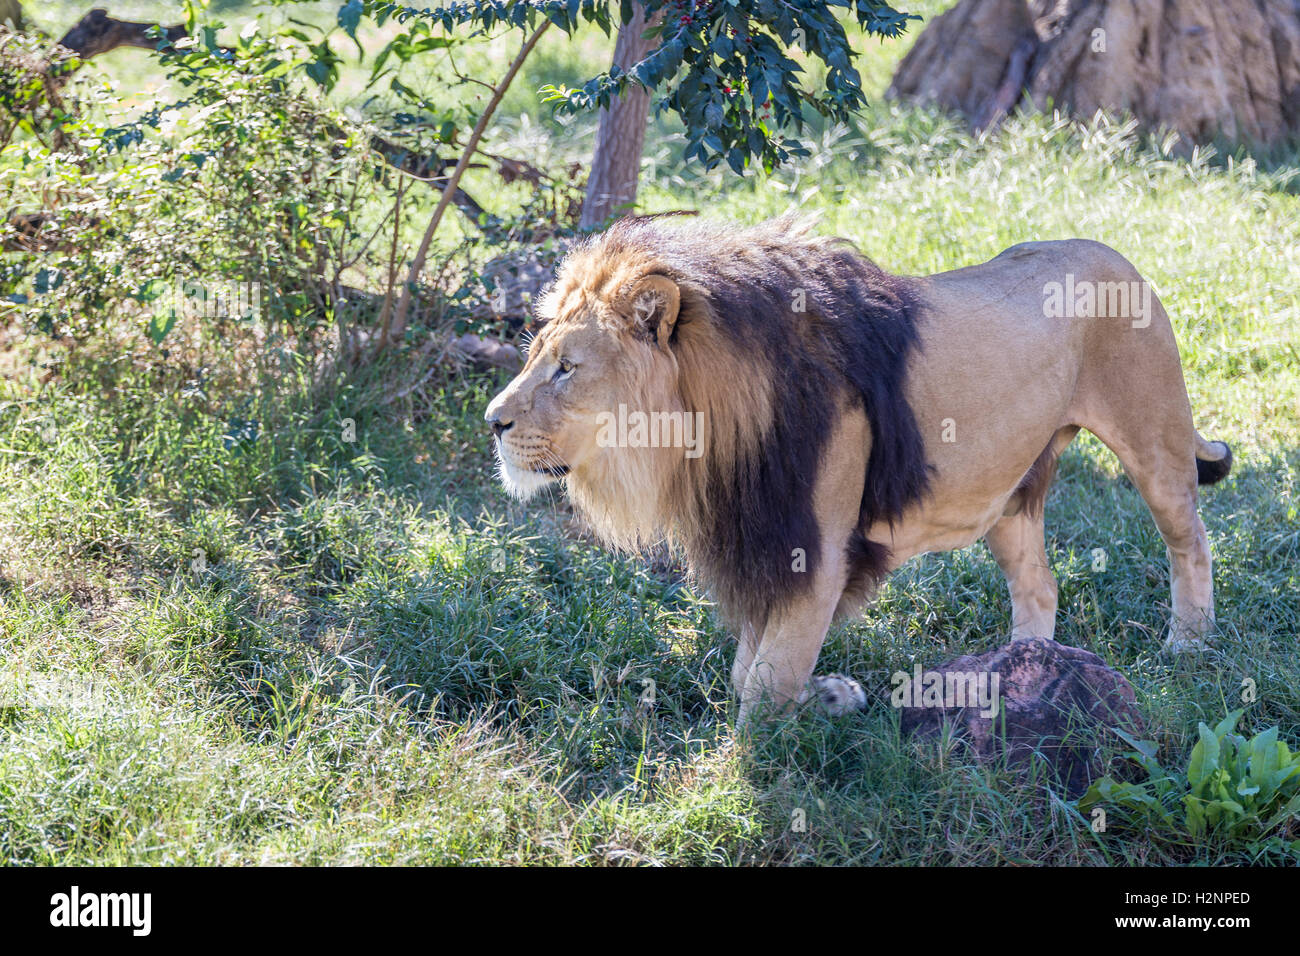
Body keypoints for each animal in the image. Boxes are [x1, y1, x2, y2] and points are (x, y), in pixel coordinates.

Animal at [486, 214, 1227, 723]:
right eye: (536, 355)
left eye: (565, 368)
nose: (493, 422)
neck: (710, 434)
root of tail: (1110, 251)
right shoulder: (766, 539)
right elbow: (751, 671)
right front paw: (833, 697)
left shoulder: (812, 549)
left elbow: (764, 686)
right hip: (1009, 495)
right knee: (1040, 586)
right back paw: (1019, 675)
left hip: (1154, 441)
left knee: (1191, 540)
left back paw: (1188, 646)